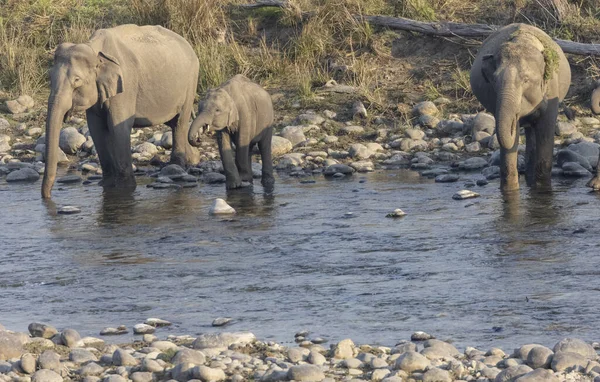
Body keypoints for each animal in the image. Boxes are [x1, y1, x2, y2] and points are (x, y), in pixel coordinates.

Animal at [42, 24, 202, 198]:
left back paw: (176, 166)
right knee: (174, 123)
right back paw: (193, 159)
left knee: (180, 121)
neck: (95, 48)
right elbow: (96, 129)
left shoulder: (125, 86)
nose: (47, 198)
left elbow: (118, 126)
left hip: (191, 81)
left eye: (77, 81)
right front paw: (106, 184)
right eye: (50, 77)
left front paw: (125, 188)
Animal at [468, 23, 572, 191]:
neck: (522, 41)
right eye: (494, 80)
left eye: (526, 80)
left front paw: (542, 189)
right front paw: (510, 190)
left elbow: (546, 130)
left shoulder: (552, 91)